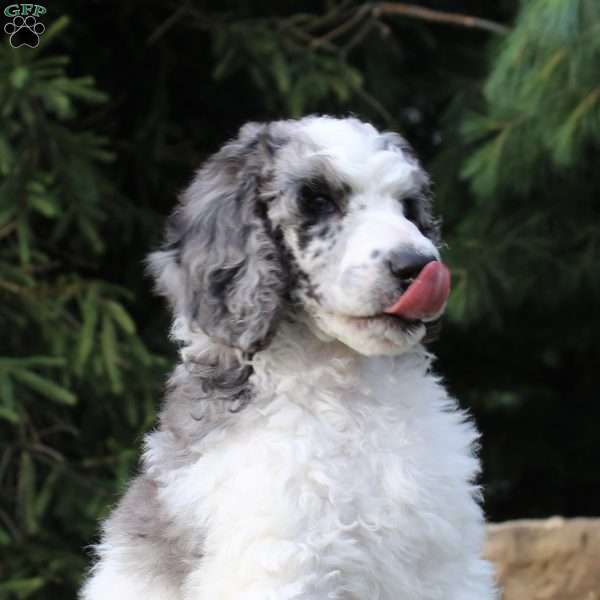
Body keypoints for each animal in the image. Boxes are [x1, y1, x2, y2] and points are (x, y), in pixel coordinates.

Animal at [83, 116, 496, 600]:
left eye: (408, 208)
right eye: (317, 200)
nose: (417, 264)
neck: (350, 397)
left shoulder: (444, 562)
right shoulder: (280, 561)